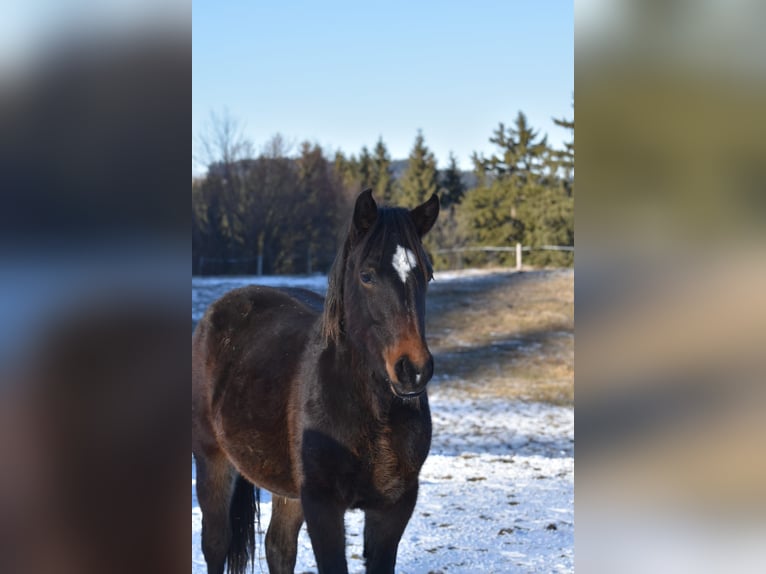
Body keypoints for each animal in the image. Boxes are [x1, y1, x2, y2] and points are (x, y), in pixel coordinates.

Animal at [192, 189, 440, 574]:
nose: (413, 369)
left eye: (426, 275)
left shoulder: (394, 506)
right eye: (367, 275)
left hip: (288, 489)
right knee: (216, 543)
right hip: (211, 459)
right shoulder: (322, 504)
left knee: (278, 547)